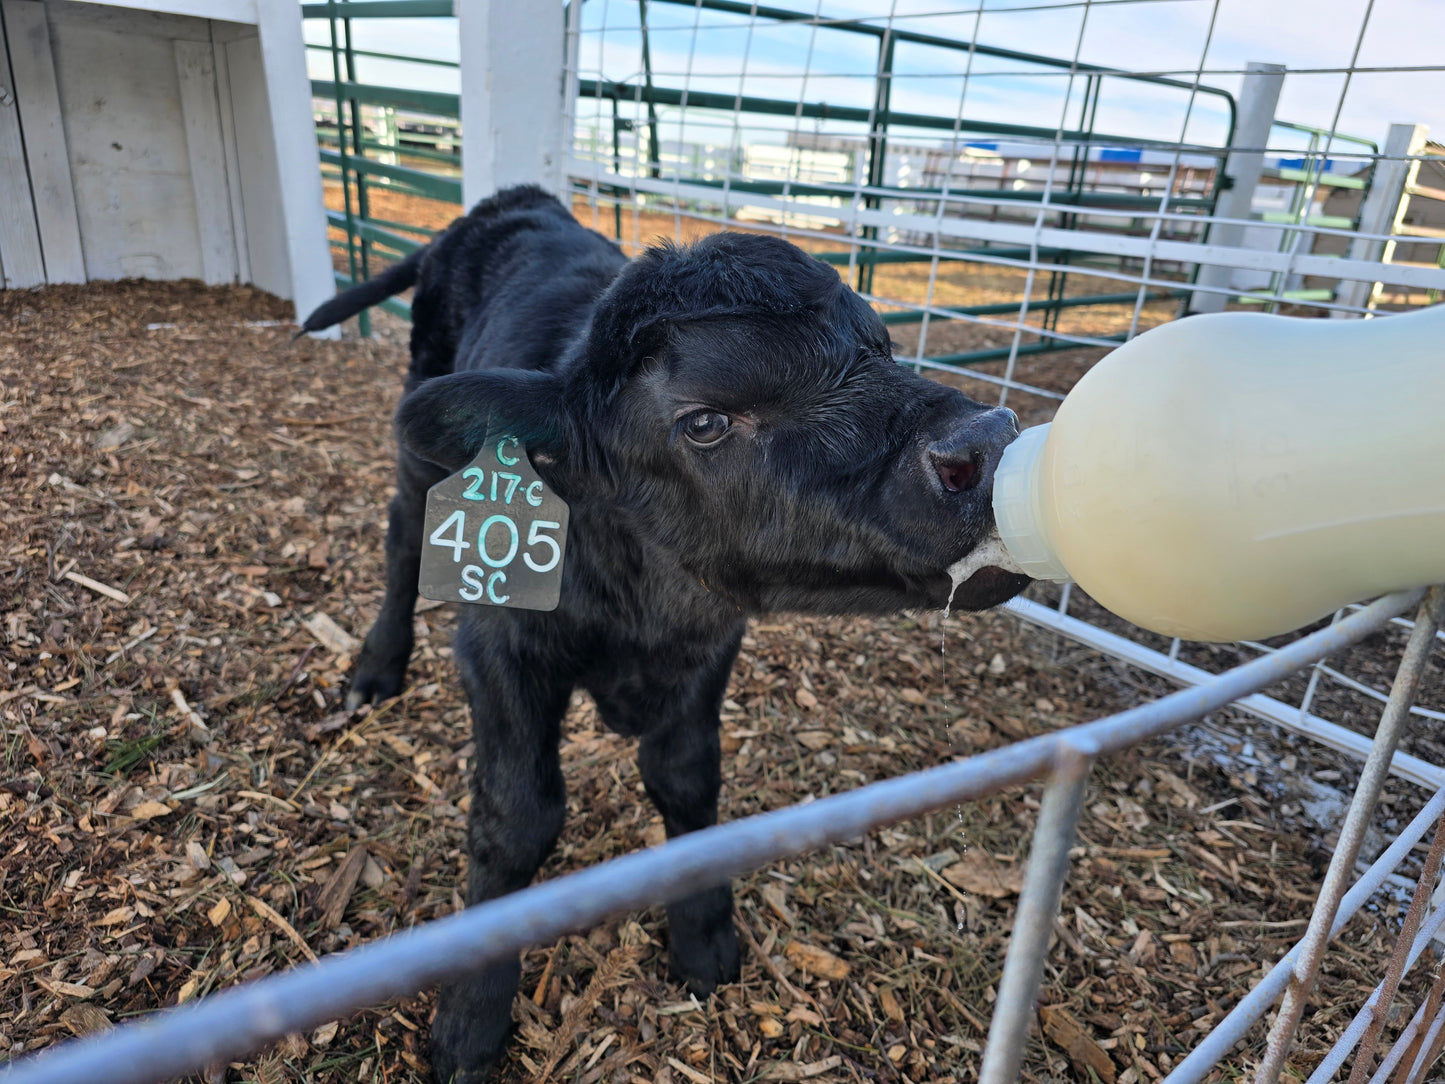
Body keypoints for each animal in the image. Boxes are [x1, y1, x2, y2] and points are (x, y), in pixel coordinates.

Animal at [302, 182, 1028, 1081]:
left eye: (882, 347)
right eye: (705, 422)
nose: (985, 442)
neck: (643, 603)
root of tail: (506, 203)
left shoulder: (707, 643)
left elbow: (685, 780)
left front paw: (705, 938)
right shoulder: (499, 647)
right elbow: (517, 817)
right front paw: (470, 1021)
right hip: (421, 444)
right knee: (404, 531)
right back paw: (376, 667)